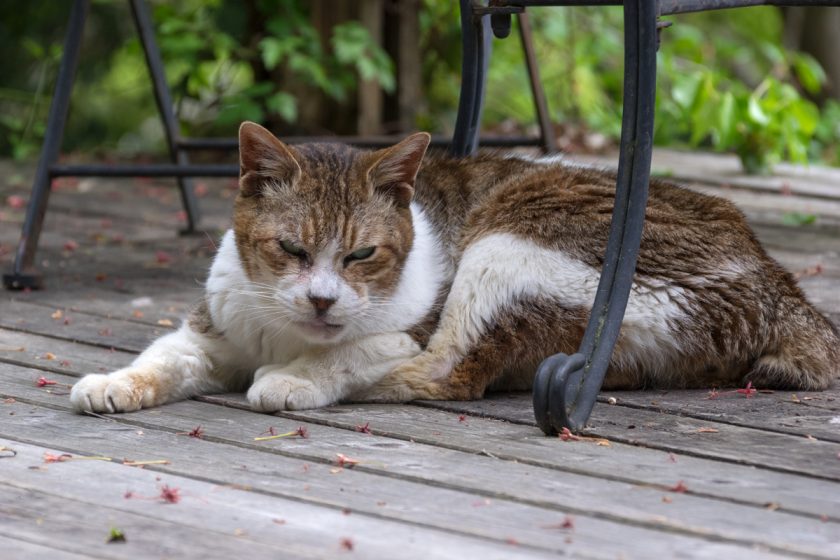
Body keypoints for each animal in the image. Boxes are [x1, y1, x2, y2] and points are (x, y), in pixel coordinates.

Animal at [69, 122, 836, 414]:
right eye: (290, 250)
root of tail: (781, 284)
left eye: (362, 254)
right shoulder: (213, 331)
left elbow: (359, 349)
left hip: (509, 237)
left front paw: (298, 376)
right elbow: (165, 356)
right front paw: (115, 382)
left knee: (450, 372)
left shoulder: (405, 325)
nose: (321, 301)